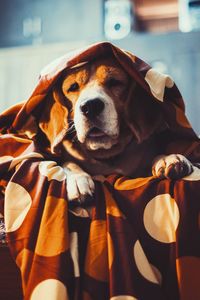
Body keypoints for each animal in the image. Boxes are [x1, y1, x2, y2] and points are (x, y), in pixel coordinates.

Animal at [37, 56, 194, 204]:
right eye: (73, 87)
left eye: (114, 82)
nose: (91, 106)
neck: (107, 155)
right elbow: (67, 163)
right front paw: (78, 179)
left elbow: (154, 156)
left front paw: (168, 158)